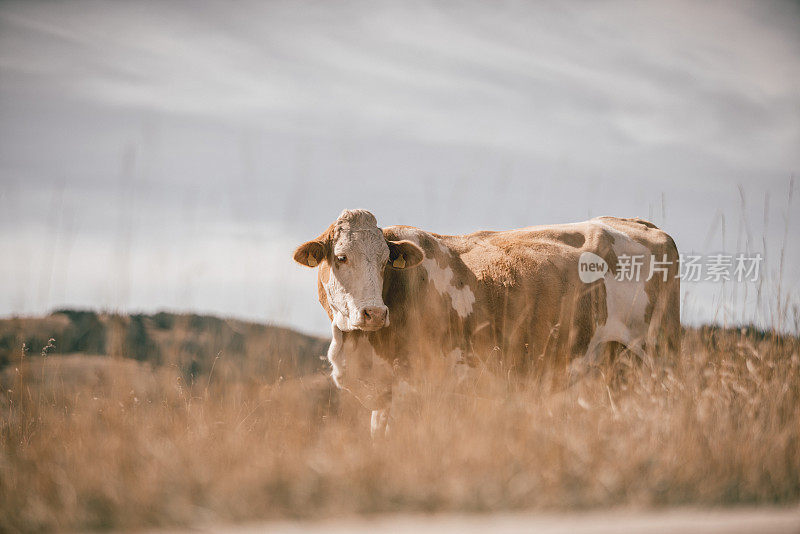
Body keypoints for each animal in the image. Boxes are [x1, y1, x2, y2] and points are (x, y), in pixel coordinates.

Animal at [294, 207, 680, 438]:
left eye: (386, 260)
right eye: (341, 257)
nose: (374, 314)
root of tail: (642, 225)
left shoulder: (420, 387)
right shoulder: (383, 396)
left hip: (656, 353)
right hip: (616, 364)